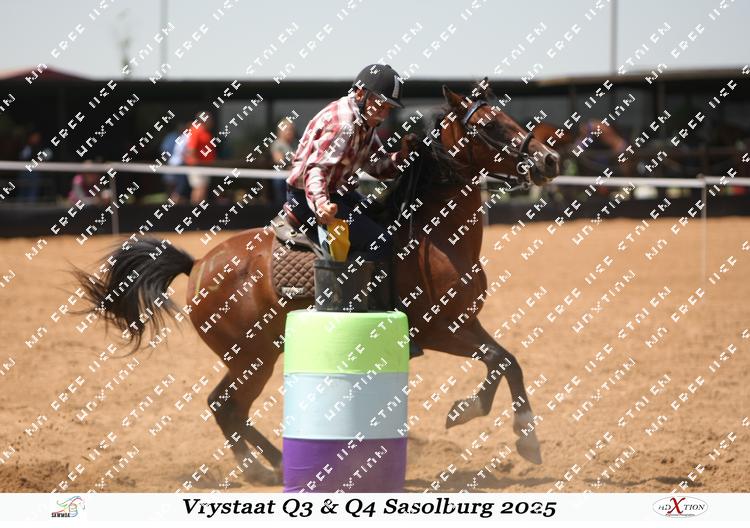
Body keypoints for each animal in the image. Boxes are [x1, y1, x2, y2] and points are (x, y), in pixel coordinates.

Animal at [73, 78, 561, 485]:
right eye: (488, 125)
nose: (550, 159)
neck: (432, 236)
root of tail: (198, 266)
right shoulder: (441, 329)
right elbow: (498, 362)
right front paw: (471, 414)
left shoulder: (467, 323)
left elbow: (509, 361)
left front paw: (526, 441)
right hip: (252, 358)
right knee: (224, 407)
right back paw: (260, 468)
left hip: (259, 354)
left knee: (228, 408)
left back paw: (274, 461)